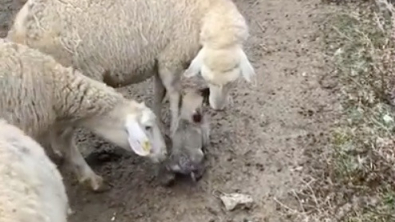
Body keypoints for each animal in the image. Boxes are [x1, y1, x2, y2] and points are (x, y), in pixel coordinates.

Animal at [7, 0, 258, 134]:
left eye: (233, 82)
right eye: (207, 77)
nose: (218, 107)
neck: (205, 11)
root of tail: (21, 28)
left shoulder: (159, 59)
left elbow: (158, 93)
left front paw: (158, 121)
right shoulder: (170, 58)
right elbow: (174, 95)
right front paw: (175, 126)